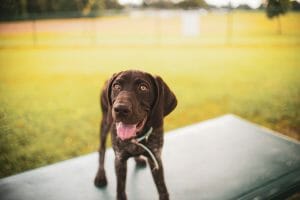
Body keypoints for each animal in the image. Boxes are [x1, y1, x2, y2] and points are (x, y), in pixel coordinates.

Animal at [94, 69, 177, 199]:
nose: (120, 109)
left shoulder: (155, 158)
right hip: (105, 122)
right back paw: (100, 175)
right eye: (116, 86)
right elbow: (121, 190)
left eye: (143, 88)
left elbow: (162, 189)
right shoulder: (120, 160)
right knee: (101, 149)